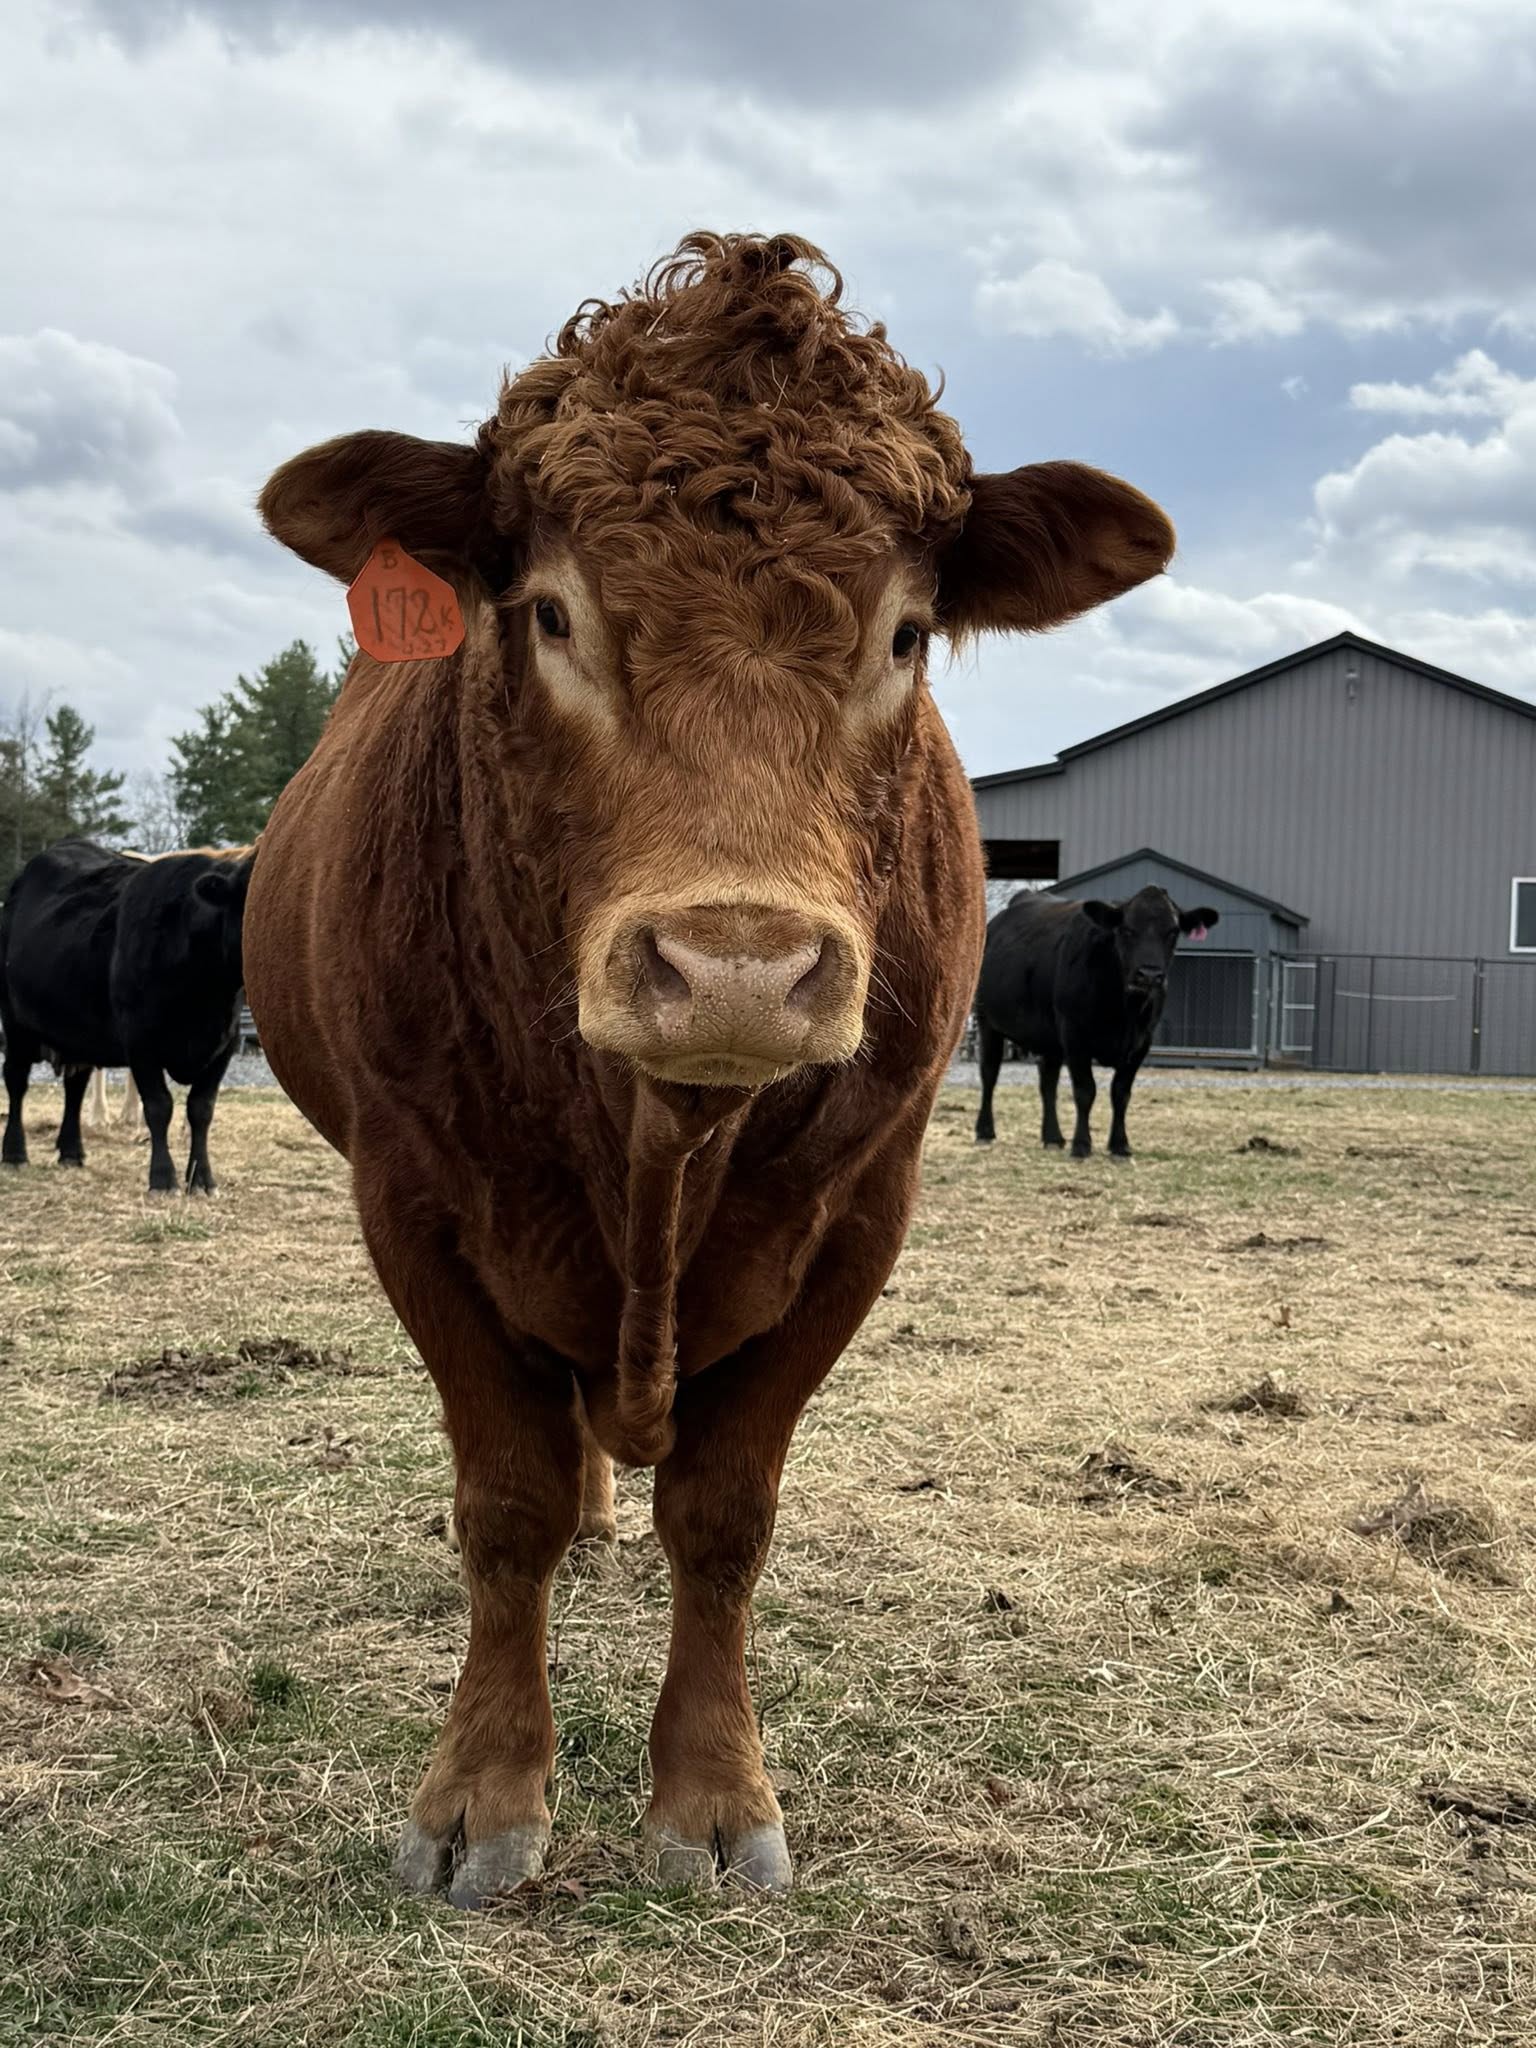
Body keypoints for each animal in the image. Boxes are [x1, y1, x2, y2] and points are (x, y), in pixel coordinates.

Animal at [1, 839, 254, 1194]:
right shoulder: (140, 1039)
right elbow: (159, 1105)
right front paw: (163, 1178)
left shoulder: (225, 1043)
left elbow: (201, 1109)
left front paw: (202, 1178)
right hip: (15, 1022)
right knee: (16, 1081)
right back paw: (15, 1153)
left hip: (77, 1033)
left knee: (75, 1087)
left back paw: (72, 1151)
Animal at [244, 231, 1174, 1906]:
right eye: (548, 615)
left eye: (906, 635)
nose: (738, 962)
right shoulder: (410, 1199)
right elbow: (505, 1500)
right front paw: (480, 1795)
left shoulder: (861, 1215)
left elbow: (727, 1514)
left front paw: (714, 1796)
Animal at [973, 885, 1219, 1158]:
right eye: (1126, 929)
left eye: (1173, 931)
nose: (1149, 975)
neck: (1124, 1012)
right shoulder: (1074, 1035)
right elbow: (1085, 1091)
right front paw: (1081, 1144)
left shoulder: (1142, 1041)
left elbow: (1121, 1093)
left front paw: (1120, 1145)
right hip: (987, 1022)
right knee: (989, 1073)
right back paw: (985, 1131)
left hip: (1049, 1037)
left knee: (1047, 1082)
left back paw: (1053, 1137)